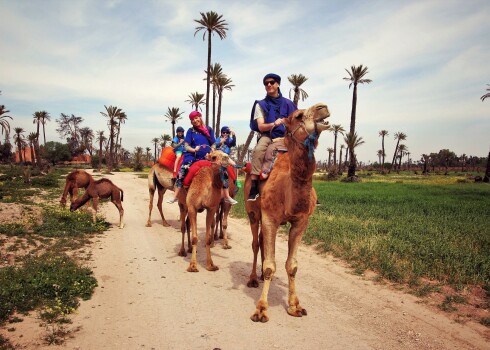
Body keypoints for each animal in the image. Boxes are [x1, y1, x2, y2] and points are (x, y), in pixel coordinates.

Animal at [245, 102, 334, 322]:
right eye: (298, 115)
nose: (323, 107)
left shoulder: (301, 221)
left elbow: (292, 265)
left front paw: (295, 306)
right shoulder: (270, 218)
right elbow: (270, 264)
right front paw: (261, 309)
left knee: (261, 241)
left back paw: (260, 276)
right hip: (253, 213)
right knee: (255, 243)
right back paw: (253, 278)